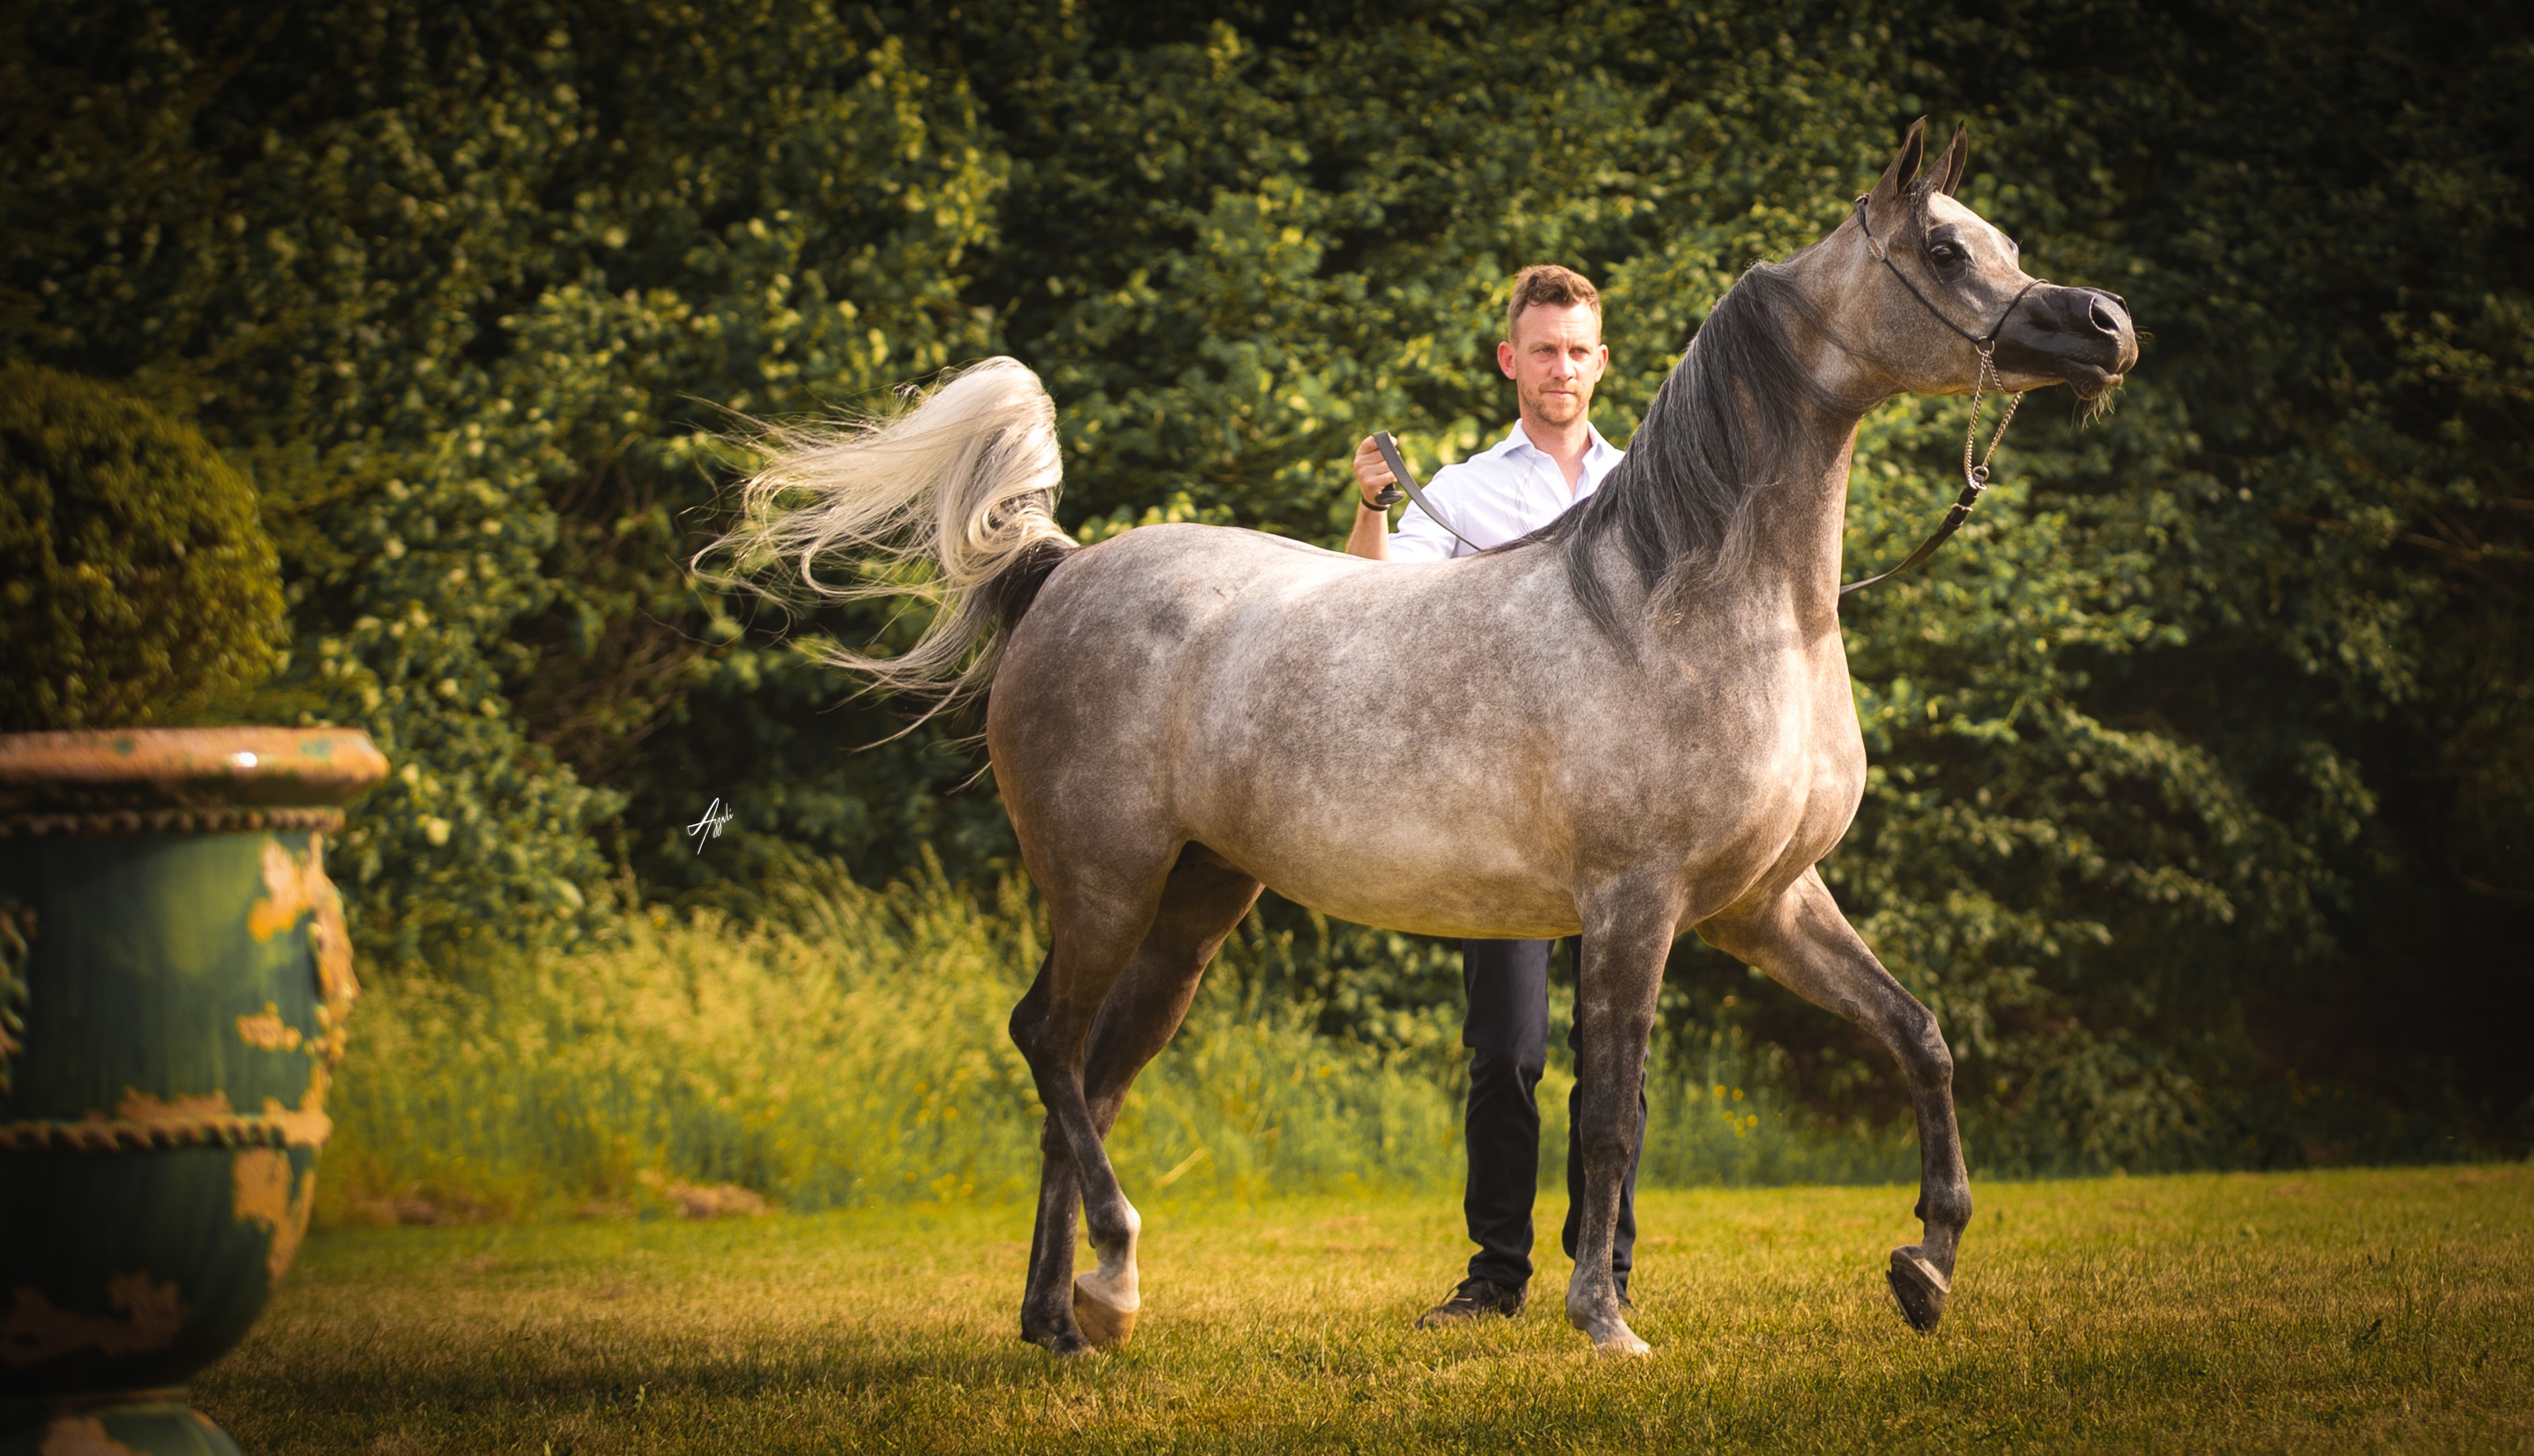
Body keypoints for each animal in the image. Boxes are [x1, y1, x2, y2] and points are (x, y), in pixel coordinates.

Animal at [707, 118, 2136, 1357]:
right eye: (1943, 251)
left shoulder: (1764, 904)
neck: (1703, 602)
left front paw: (1926, 1264)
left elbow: (1918, 1036)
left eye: (1999, 239)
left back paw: (1059, 1322)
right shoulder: (1636, 905)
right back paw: (1112, 1284)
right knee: (1046, 1046)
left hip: (1192, 902)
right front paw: (1604, 1322)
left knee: (1091, 1081)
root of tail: (1063, 570)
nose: (2104, 327)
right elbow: (1605, 1123)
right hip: (1101, 876)